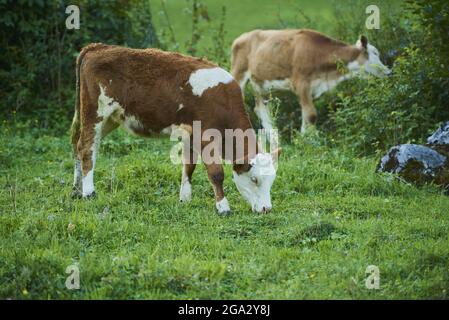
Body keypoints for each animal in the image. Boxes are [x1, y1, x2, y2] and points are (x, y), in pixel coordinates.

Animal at [70, 43, 280, 215]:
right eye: (254, 179)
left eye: (272, 181)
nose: (266, 209)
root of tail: (97, 47)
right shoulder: (206, 135)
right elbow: (216, 173)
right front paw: (223, 207)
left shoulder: (190, 134)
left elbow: (189, 167)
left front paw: (184, 199)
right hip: (95, 112)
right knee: (87, 148)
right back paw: (88, 193)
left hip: (110, 119)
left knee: (79, 146)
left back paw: (76, 190)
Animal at [229, 28, 390, 132]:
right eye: (375, 53)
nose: (388, 71)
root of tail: (242, 36)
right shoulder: (301, 83)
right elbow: (311, 115)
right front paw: (307, 143)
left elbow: (307, 116)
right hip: (238, 75)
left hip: (262, 86)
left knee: (261, 109)